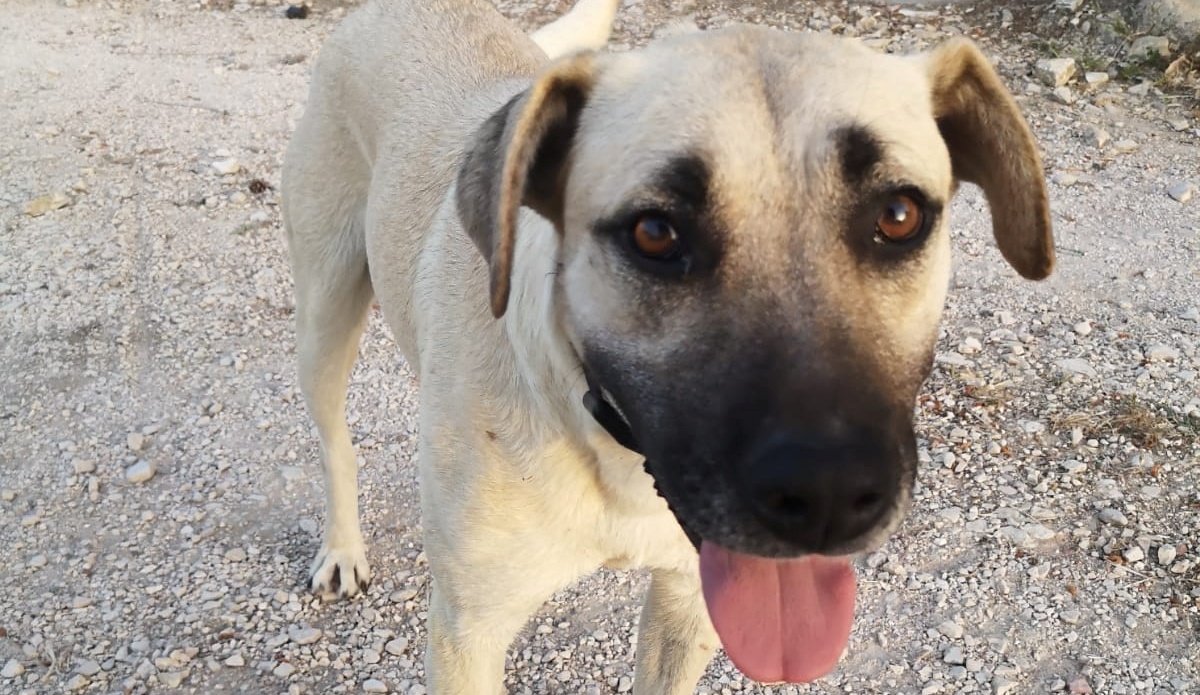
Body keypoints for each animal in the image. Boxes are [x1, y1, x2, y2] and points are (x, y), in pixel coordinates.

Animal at [278, 1, 1051, 691]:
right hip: (324, 317)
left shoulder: (691, 603)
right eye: (655, 232)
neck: (607, 449)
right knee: (334, 439)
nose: (828, 495)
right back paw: (342, 546)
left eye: (898, 216)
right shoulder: (468, 630)